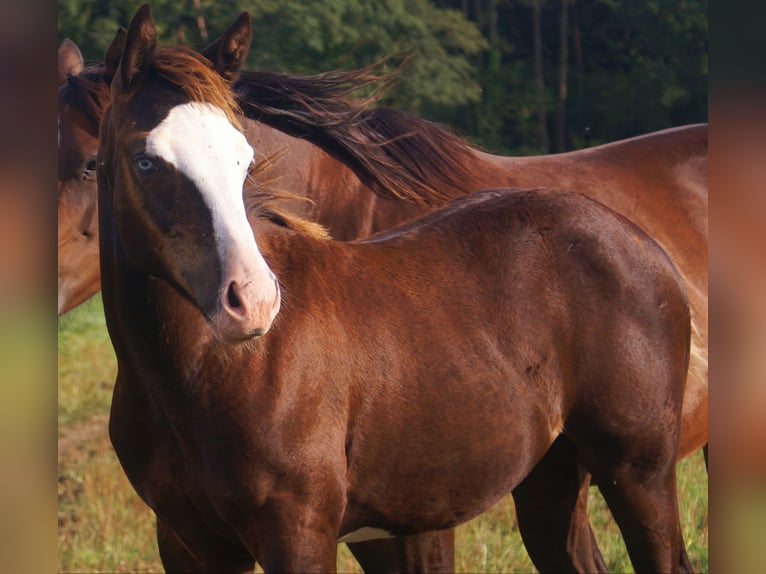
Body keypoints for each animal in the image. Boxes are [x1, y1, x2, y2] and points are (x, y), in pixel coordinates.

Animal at [57, 13, 707, 572]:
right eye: (145, 161)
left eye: (245, 157)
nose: (252, 301)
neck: (197, 376)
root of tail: (645, 247)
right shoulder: (190, 543)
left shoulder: (303, 530)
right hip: (552, 480)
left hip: (638, 473)